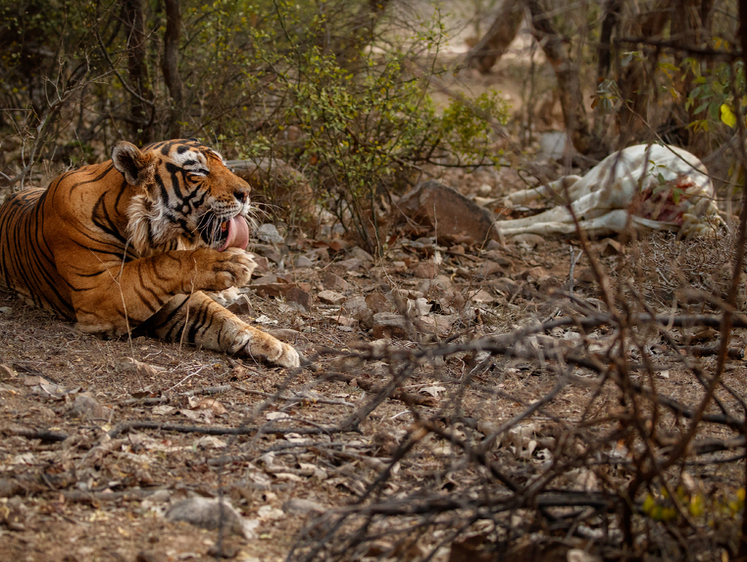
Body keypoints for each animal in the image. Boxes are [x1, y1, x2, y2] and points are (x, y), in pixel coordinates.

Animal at [0, 138, 300, 368]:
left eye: (223, 164)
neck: (150, 237)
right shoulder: (100, 292)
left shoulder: (177, 302)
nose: (247, 193)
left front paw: (278, 348)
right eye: (199, 171)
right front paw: (230, 263)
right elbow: (159, 265)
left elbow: (227, 320)